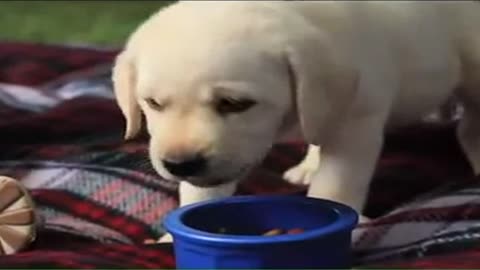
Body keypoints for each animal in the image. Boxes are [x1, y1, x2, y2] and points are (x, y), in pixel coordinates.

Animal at [113, 1, 480, 243]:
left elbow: (335, 185)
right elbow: (200, 193)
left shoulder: (355, 124)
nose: (180, 164)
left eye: (234, 104)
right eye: (153, 103)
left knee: (468, 127)